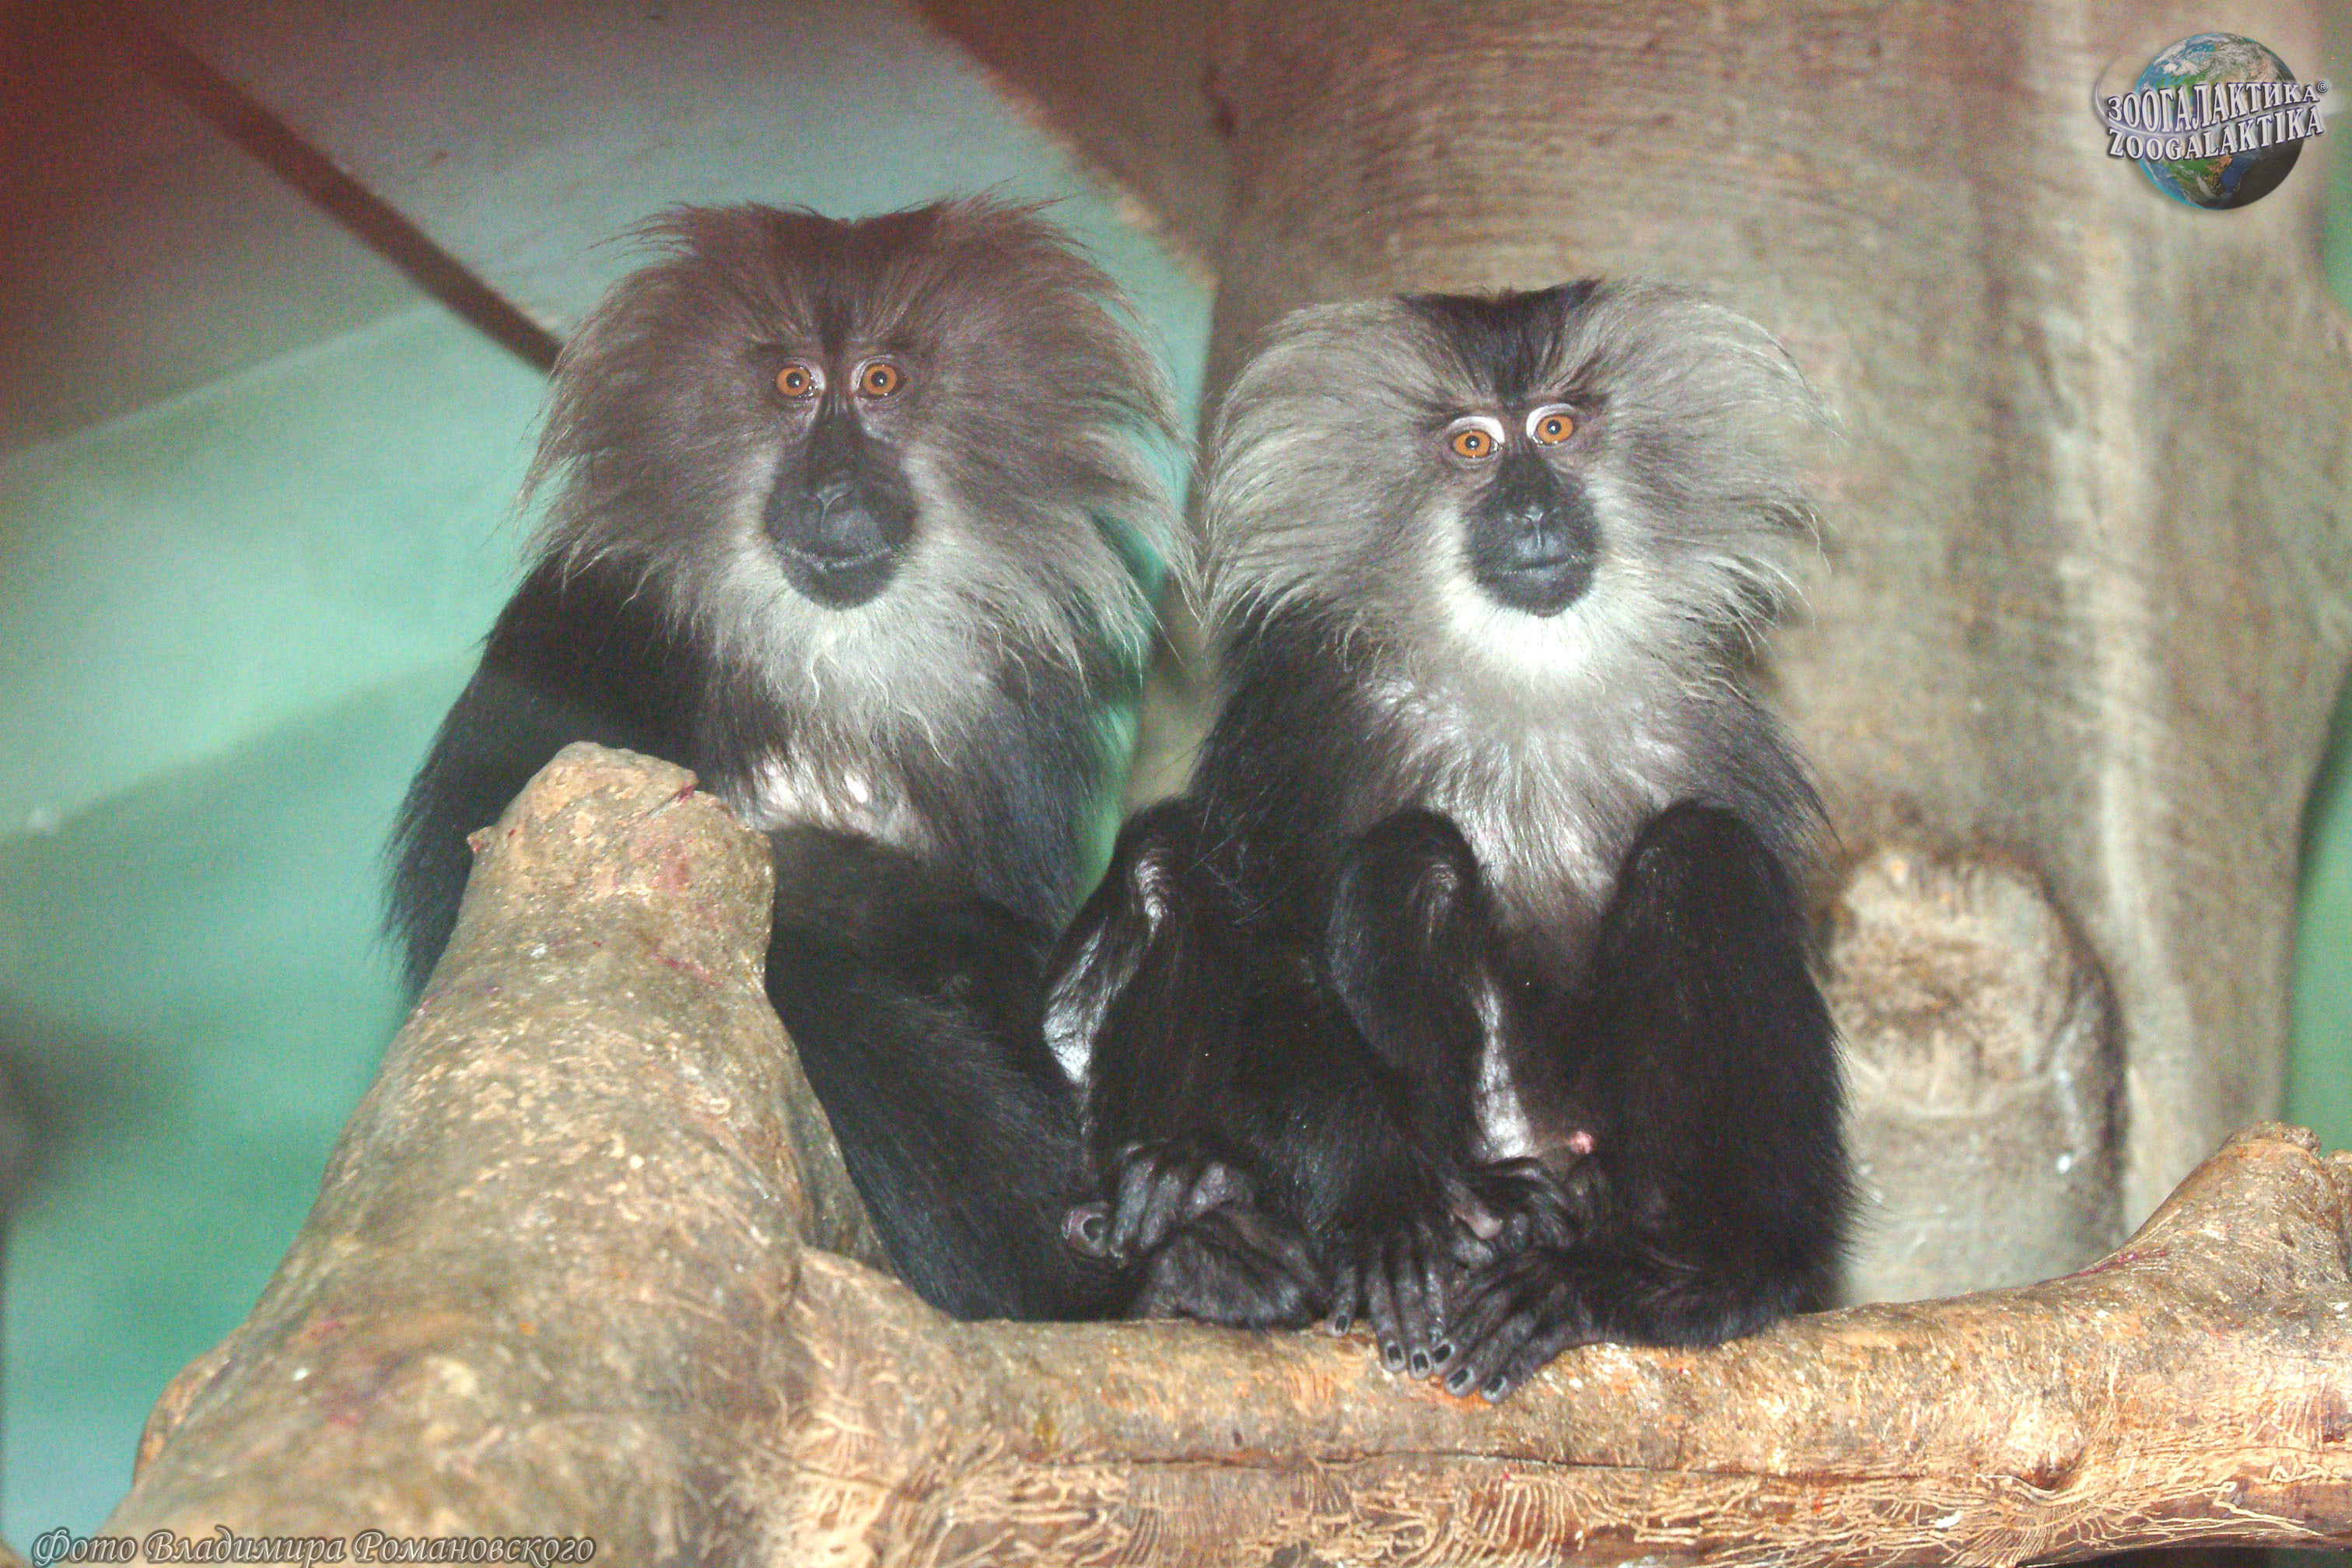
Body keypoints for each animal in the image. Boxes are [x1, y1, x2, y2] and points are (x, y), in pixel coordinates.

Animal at [387, 198, 1178, 1323]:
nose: (836, 489)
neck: (831, 647)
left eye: (880, 382)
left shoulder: (1021, 710)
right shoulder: (603, 621)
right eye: (795, 385)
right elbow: (481, 893)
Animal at [1046, 281, 1849, 1397]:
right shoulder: (1307, 712)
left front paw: (1713, 1281)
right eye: (1474, 445)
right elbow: (1266, 938)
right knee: (1388, 864)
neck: (1522, 683)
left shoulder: (1714, 734)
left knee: (1700, 858)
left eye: (1555, 431)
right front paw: (1386, 1208)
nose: (1532, 509)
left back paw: (1667, 1273)